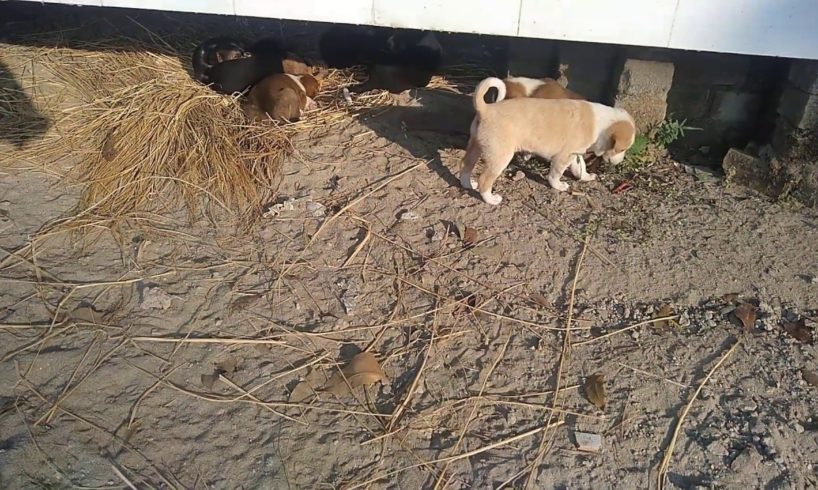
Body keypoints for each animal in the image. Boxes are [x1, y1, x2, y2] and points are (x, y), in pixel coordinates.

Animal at [462, 76, 636, 205]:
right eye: (622, 149)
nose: (619, 162)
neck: (602, 123)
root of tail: (486, 109)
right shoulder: (564, 156)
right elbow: (555, 175)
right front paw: (559, 186)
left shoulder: (575, 153)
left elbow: (580, 166)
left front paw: (586, 177)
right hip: (500, 157)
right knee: (484, 180)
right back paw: (491, 199)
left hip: (476, 146)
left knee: (465, 166)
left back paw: (467, 184)